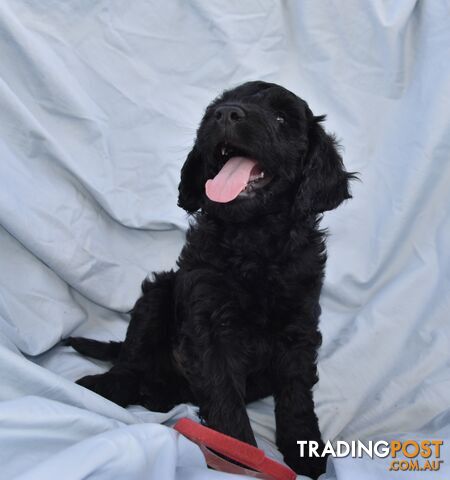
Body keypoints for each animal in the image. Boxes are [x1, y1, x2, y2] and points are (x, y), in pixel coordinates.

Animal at [67, 81, 356, 476]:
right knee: (130, 359)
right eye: (216, 107)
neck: (254, 242)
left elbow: (296, 394)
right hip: (157, 295)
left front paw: (304, 452)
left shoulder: (298, 325)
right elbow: (224, 397)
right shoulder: (209, 321)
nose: (226, 113)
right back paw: (109, 386)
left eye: (281, 118)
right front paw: (239, 456)